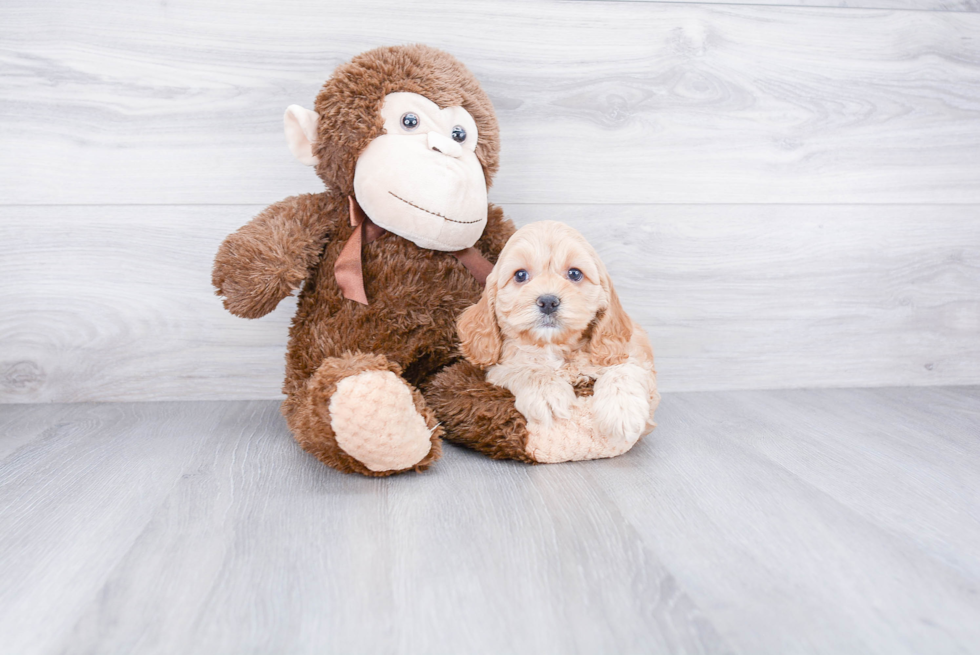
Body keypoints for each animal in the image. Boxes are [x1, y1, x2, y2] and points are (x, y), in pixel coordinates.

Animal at [458, 220, 660, 462]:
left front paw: (622, 410)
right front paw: (547, 393)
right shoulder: (498, 366)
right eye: (520, 275)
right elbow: (526, 368)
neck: (556, 348)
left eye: (574, 274)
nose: (548, 301)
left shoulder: (629, 349)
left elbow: (625, 369)